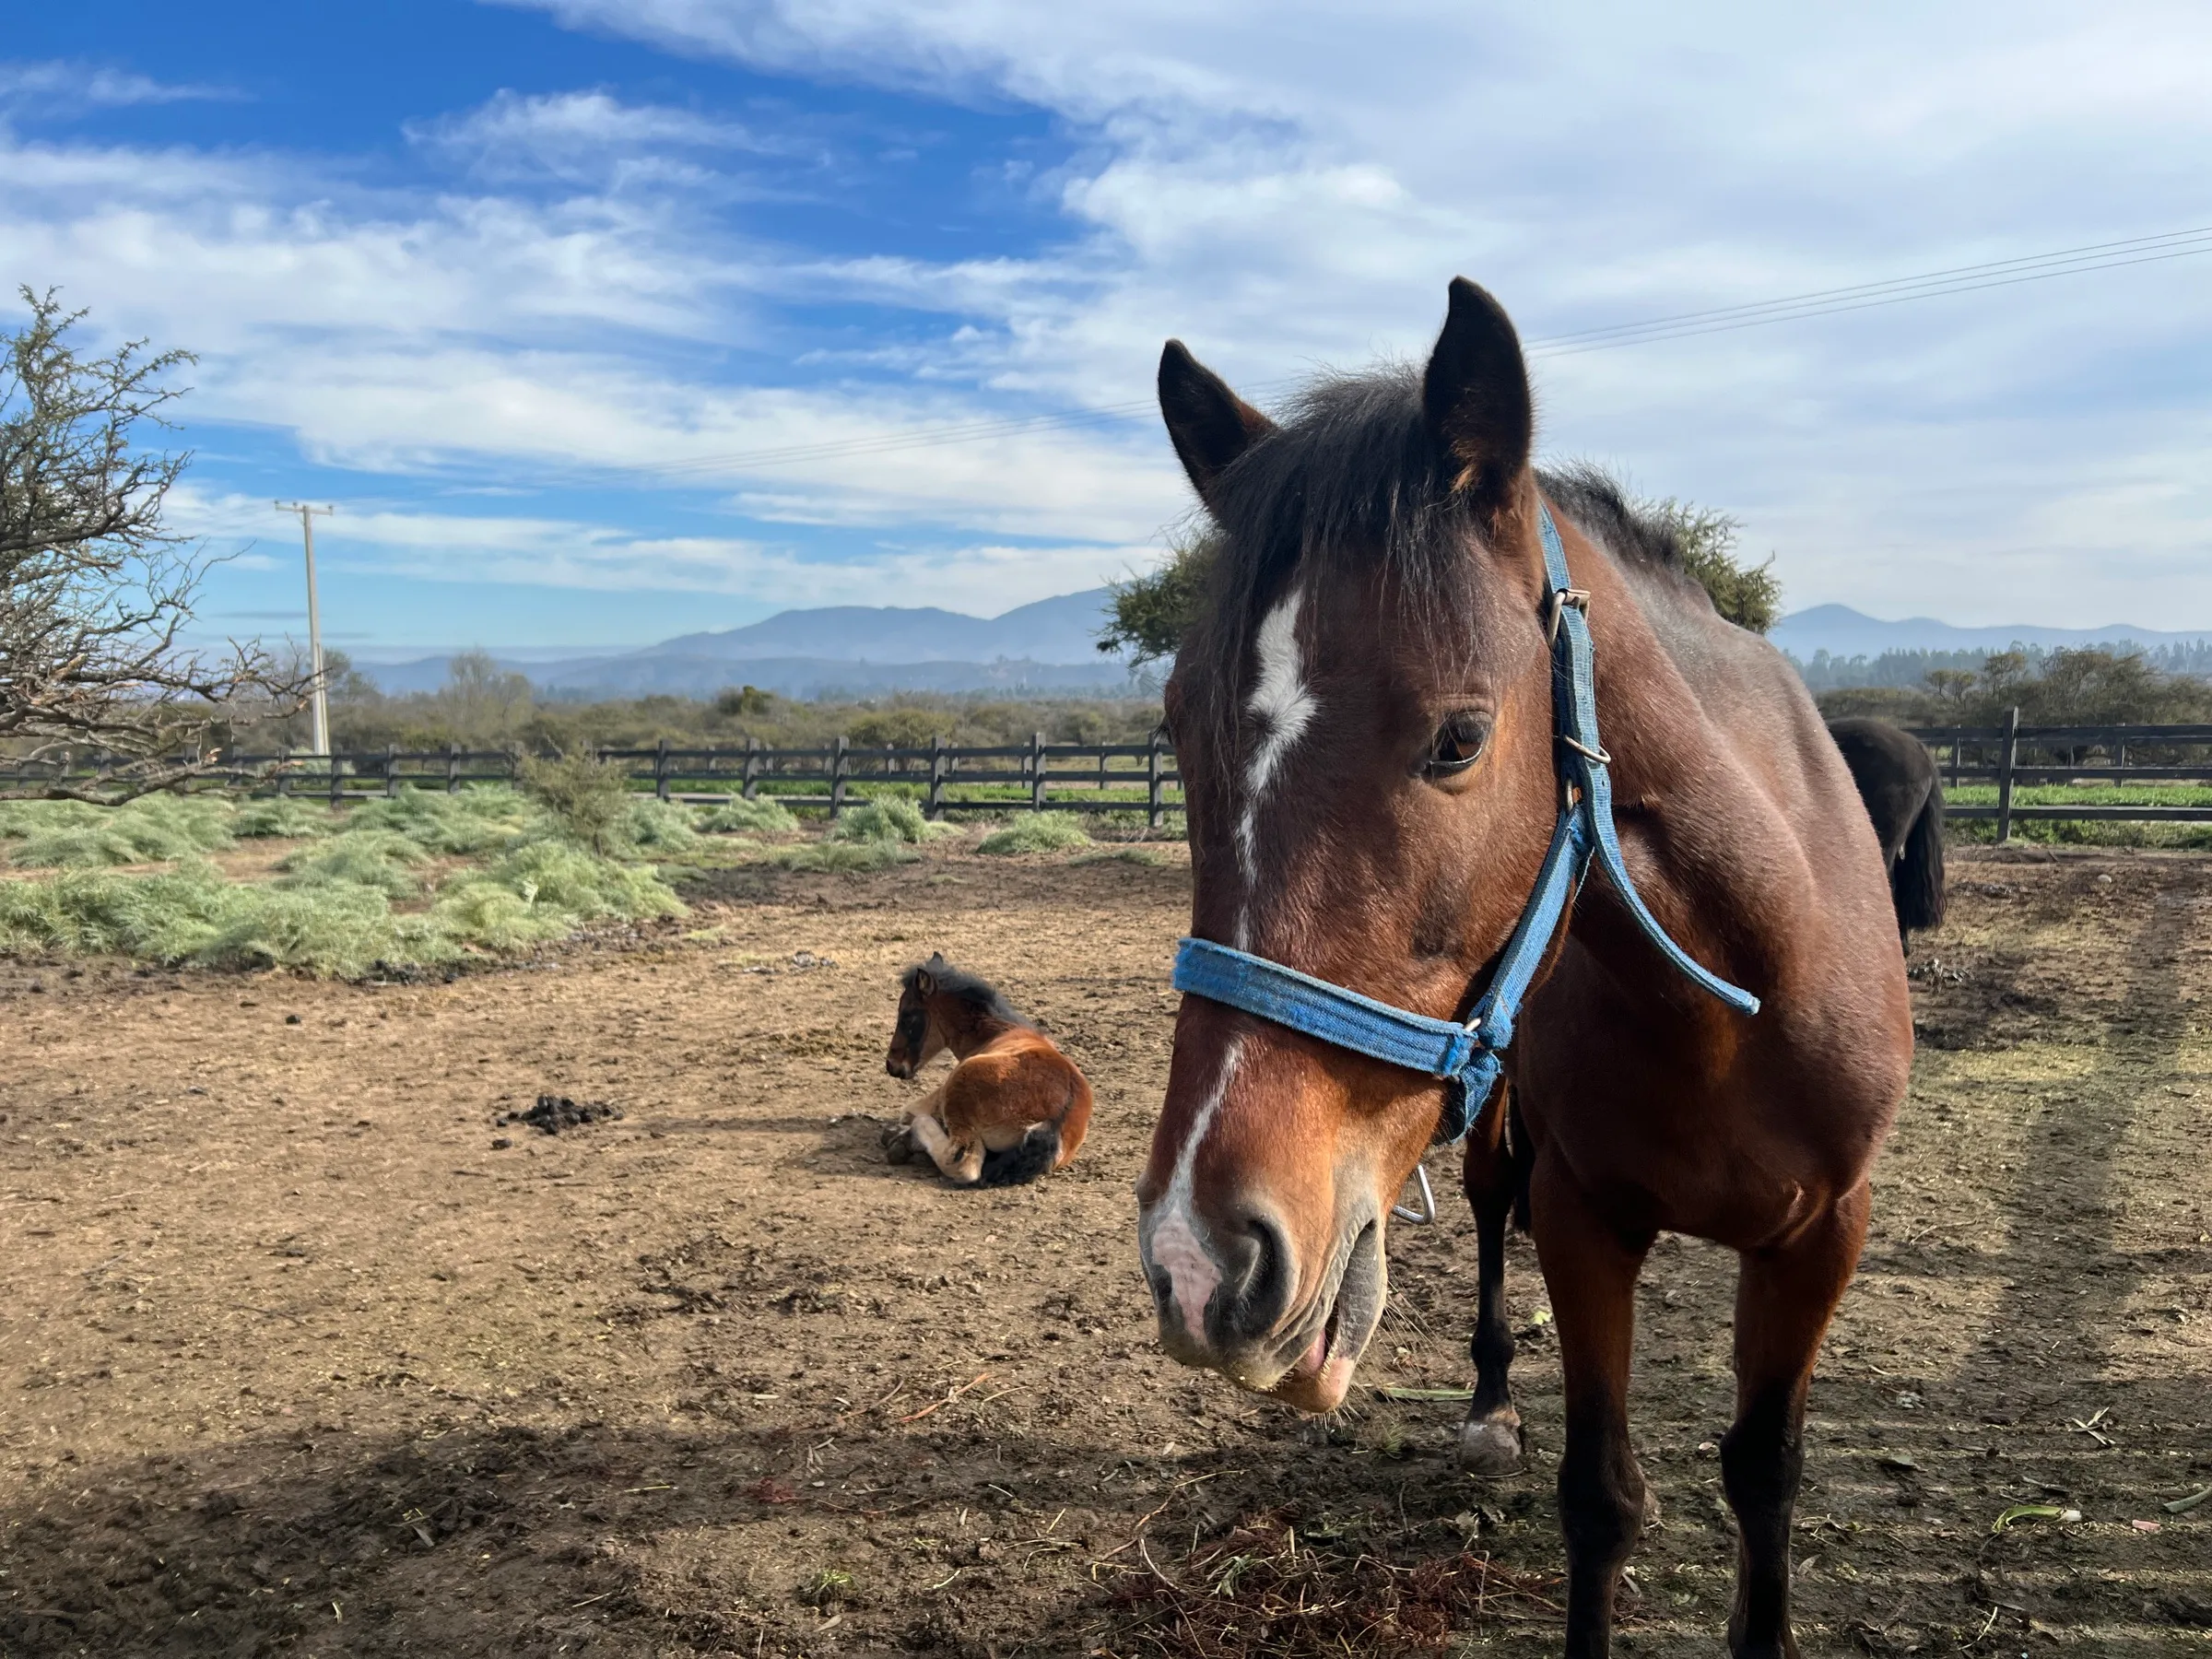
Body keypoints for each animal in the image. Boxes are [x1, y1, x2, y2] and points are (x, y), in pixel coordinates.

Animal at [882, 953, 1093, 1186]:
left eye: (908, 1016)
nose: (892, 1065)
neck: (996, 1032)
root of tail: (1055, 1119)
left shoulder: (937, 1098)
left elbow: (908, 1113)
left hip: (960, 1095)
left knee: (963, 1163)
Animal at [1133, 279, 1913, 1659]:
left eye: (1459, 739)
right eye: (1179, 728)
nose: (1199, 1260)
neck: (1741, 994)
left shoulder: (1825, 1236)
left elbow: (1765, 1472)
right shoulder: (1586, 1220)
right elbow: (1599, 1497)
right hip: (1505, 1140)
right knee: (1491, 1215)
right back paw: (1492, 1403)